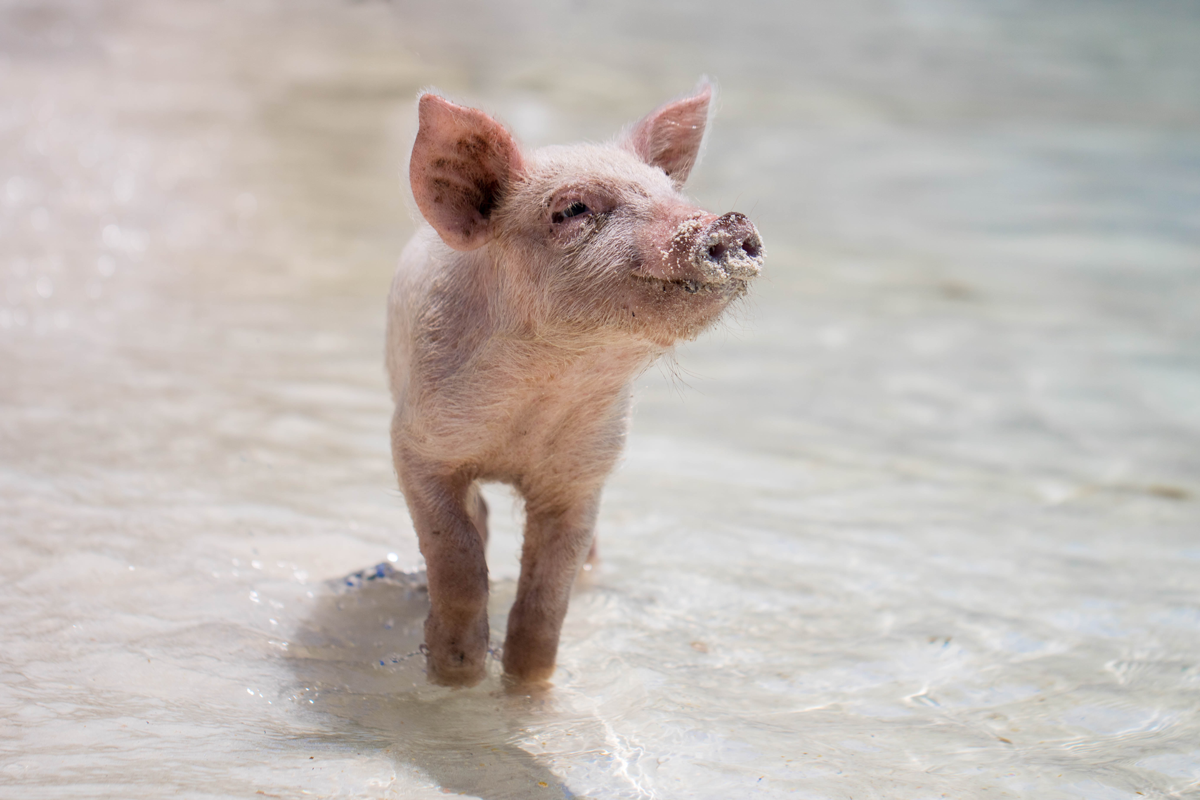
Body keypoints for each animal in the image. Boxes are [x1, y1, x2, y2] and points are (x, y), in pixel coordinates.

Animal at [388, 77, 763, 686]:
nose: (728, 222)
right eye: (572, 208)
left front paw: (526, 686)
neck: (541, 396)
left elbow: (547, 597)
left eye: (670, 191)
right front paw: (456, 673)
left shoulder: (584, 474)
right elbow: (457, 556)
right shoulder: (416, 445)